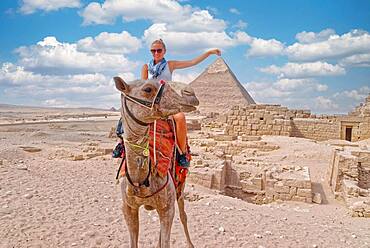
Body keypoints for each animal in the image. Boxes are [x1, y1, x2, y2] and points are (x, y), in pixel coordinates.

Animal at [113, 76, 198, 247]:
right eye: (147, 89)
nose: (190, 92)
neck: (142, 181)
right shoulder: (128, 208)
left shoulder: (167, 207)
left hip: (180, 187)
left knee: (183, 215)